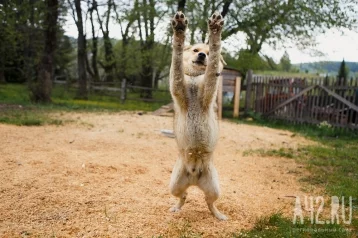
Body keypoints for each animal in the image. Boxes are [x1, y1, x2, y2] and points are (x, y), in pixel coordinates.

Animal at [169, 11, 228, 221]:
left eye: (208, 53)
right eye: (195, 50)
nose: (202, 55)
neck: (194, 80)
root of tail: (194, 177)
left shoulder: (208, 91)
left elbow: (212, 70)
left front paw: (215, 31)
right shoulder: (177, 86)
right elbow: (176, 60)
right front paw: (179, 30)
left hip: (215, 189)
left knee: (209, 203)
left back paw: (219, 216)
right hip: (174, 185)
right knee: (183, 196)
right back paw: (176, 207)